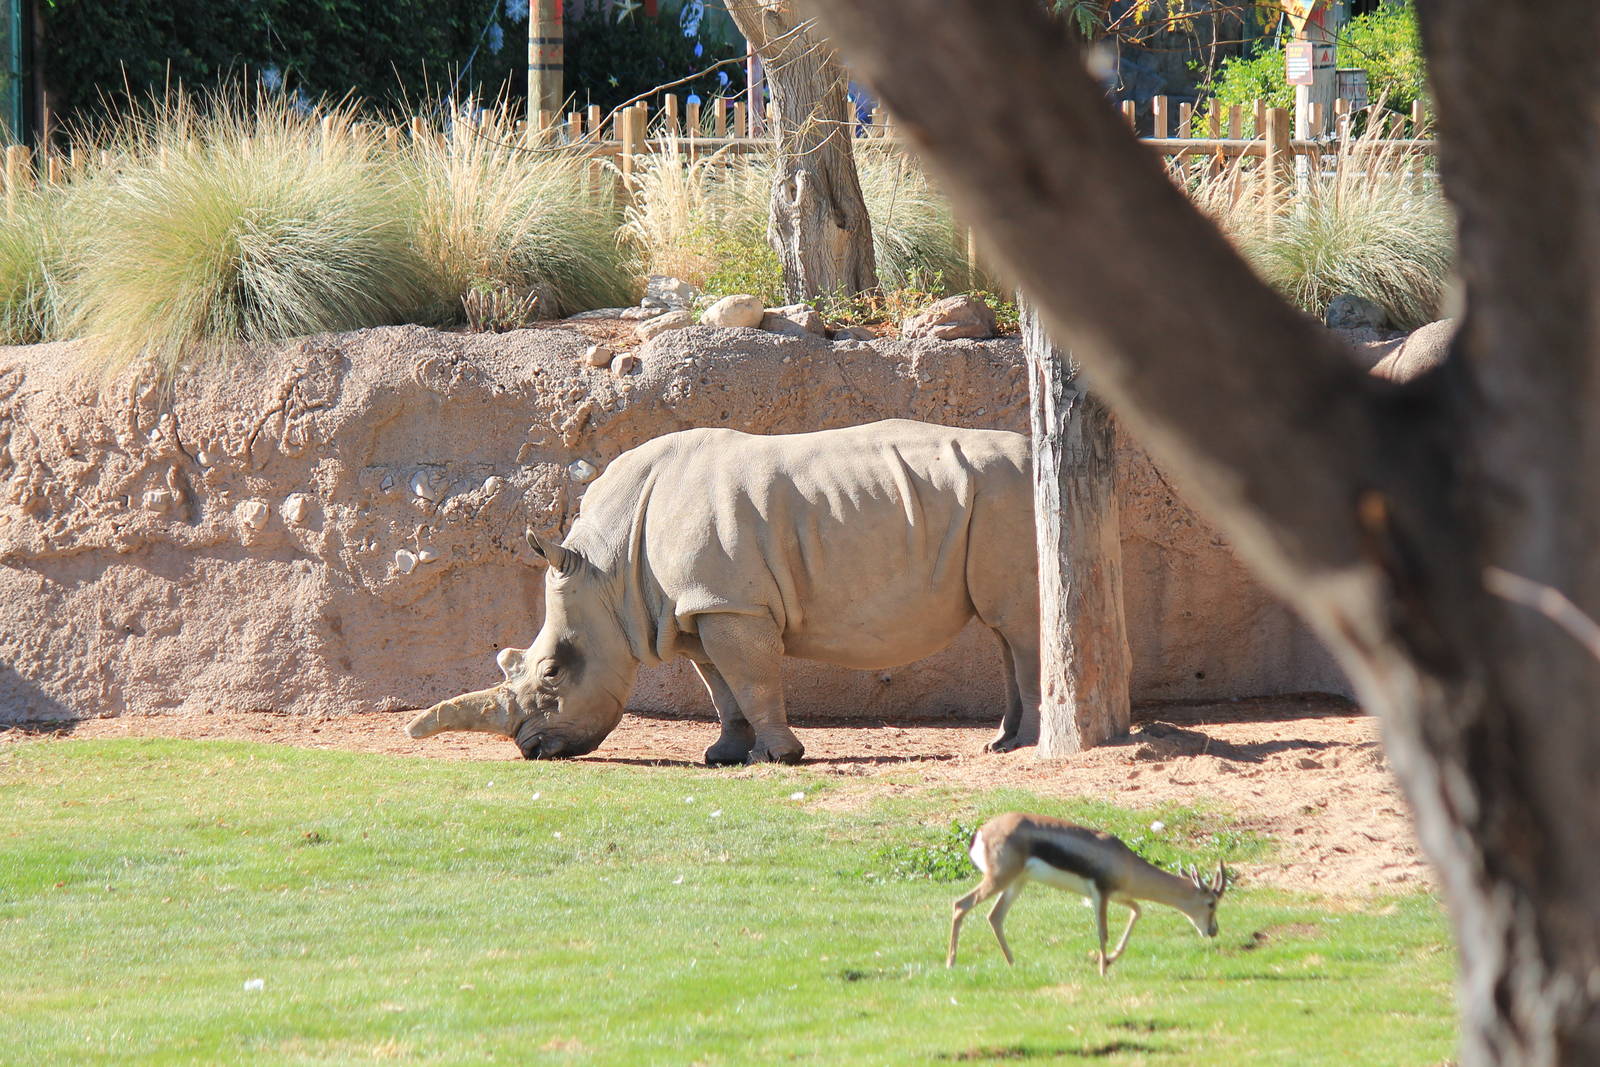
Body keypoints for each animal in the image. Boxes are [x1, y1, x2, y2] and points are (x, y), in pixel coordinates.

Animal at [405, 418, 1040, 764]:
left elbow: (753, 679)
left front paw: (780, 757)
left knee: (1018, 626)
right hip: (991, 499)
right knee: (1004, 629)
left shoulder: (731, 603)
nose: (531, 749)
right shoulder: (694, 606)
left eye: (554, 672)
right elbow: (721, 687)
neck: (607, 570)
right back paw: (1000, 744)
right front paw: (723, 757)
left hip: (1009, 495)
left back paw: (1025, 746)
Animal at [947, 813, 1228, 975]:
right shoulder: (1100, 894)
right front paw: (1103, 969)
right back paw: (951, 963)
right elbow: (1103, 932)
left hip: (1017, 883)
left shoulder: (1117, 895)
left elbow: (1137, 911)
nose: (1213, 931)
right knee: (961, 905)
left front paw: (1110, 960)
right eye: (1211, 903)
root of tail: (980, 832)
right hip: (998, 880)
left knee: (995, 917)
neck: (1124, 861)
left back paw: (1012, 964)